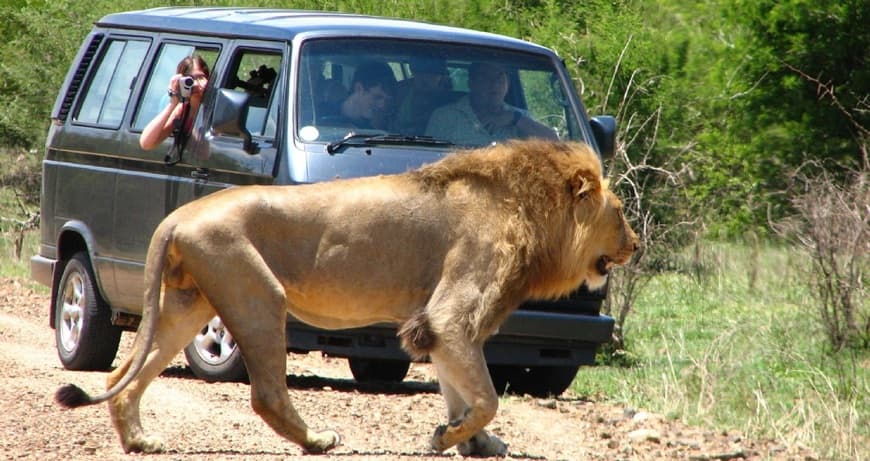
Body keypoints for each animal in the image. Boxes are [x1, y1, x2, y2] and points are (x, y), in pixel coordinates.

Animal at [56, 138, 640, 454]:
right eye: (619, 213)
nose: (635, 244)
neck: (531, 212)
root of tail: (176, 216)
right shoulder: (452, 314)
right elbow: (487, 398)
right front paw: (448, 438)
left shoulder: (437, 325)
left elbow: (460, 389)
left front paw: (473, 443)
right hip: (257, 292)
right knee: (266, 393)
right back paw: (316, 440)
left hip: (186, 304)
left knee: (120, 375)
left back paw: (139, 441)